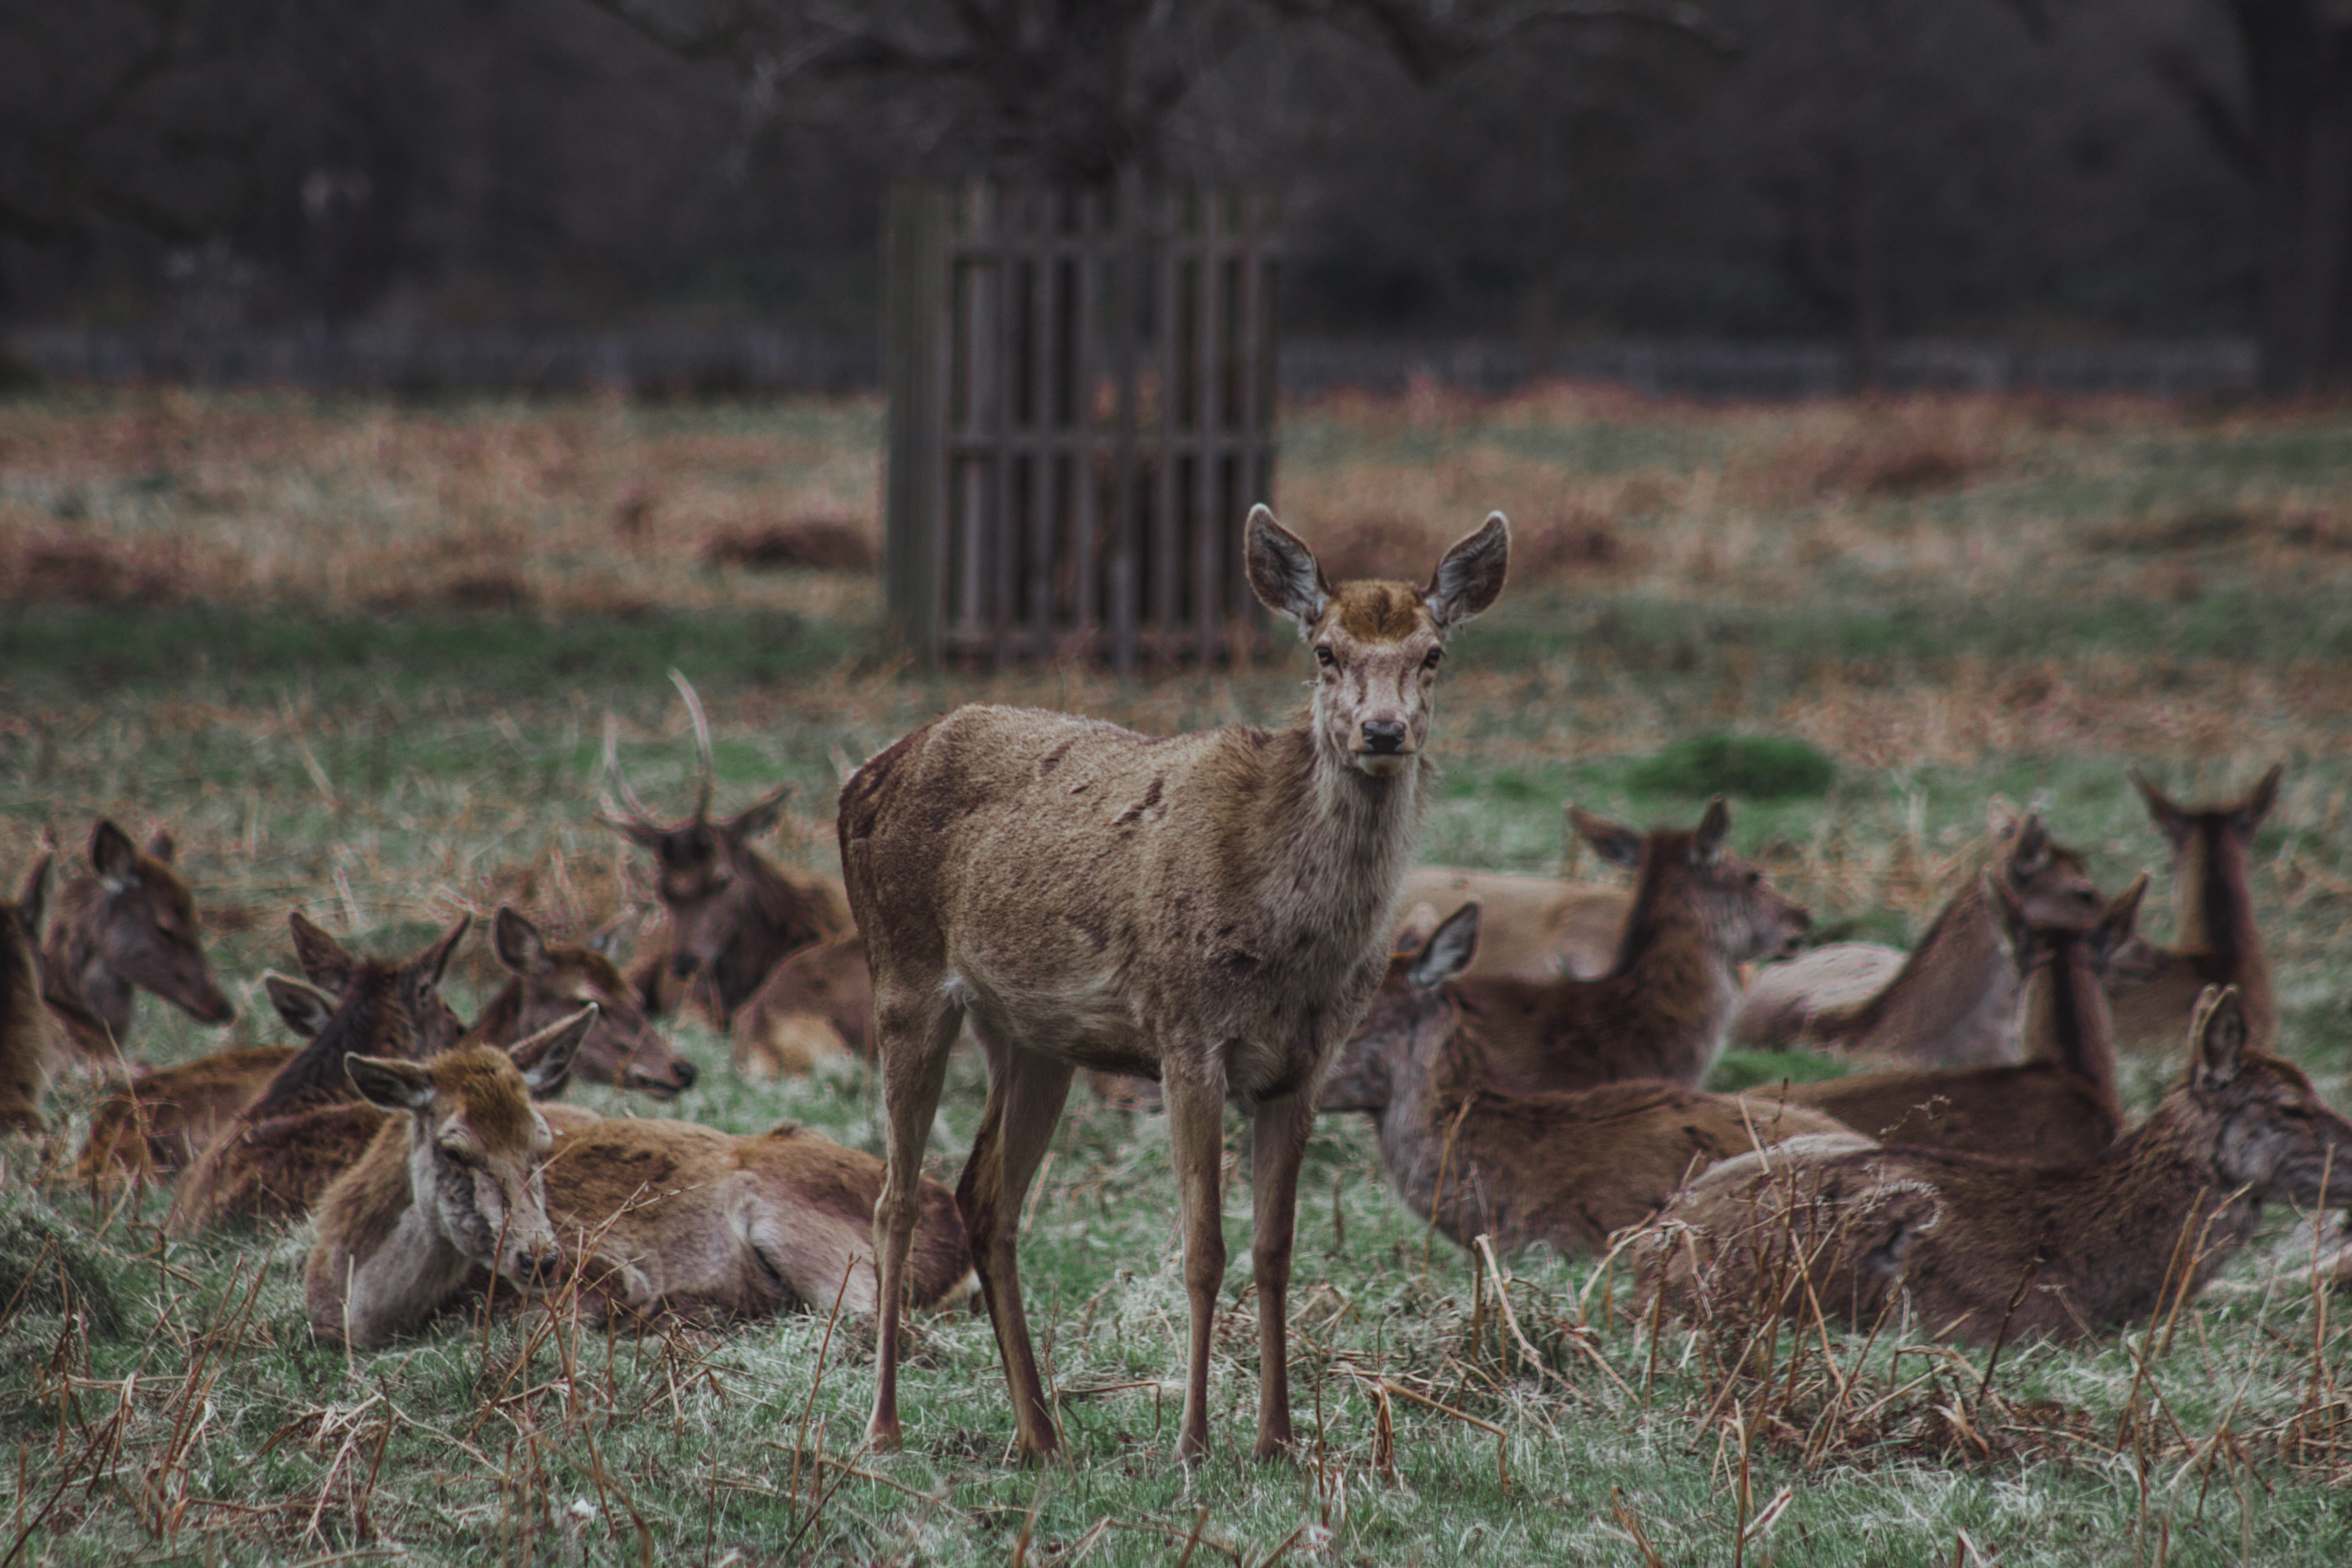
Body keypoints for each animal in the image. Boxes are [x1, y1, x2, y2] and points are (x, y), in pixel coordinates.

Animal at [306, 1010, 975, 1349]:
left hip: (813, 1236)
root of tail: (952, 1220)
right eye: (454, 1148)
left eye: (541, 1143)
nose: (539, 1257)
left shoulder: (608, 1265)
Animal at [841, 505, 1508, 1462]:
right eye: (1325, 650)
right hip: (900, 969)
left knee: (987, 1196)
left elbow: (1274, 1249)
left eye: (1432, 654)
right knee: (895, 1198)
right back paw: (885, 1427)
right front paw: (1193, 1439)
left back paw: (1041, 1433)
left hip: (1032, 1035)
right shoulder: (1185, 1033)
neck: (1289, 942)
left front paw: (1276, 1437)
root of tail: (861, 779)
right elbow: (1203, 1249)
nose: (1382, 732)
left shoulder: (1303, 1065)